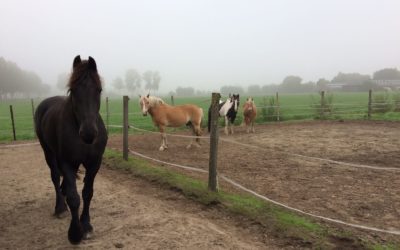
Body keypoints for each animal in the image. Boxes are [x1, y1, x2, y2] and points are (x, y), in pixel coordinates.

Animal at [34, 55, 108, 244]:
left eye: (99, 90)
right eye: (73, 90)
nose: (89, 133)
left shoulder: (94, 163)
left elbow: (87, 193)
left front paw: (86, 226)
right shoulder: (66, 162)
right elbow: (74, 198)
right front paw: (75, 233)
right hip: (48, 152)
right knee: (55, 176)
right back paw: (60, 207)